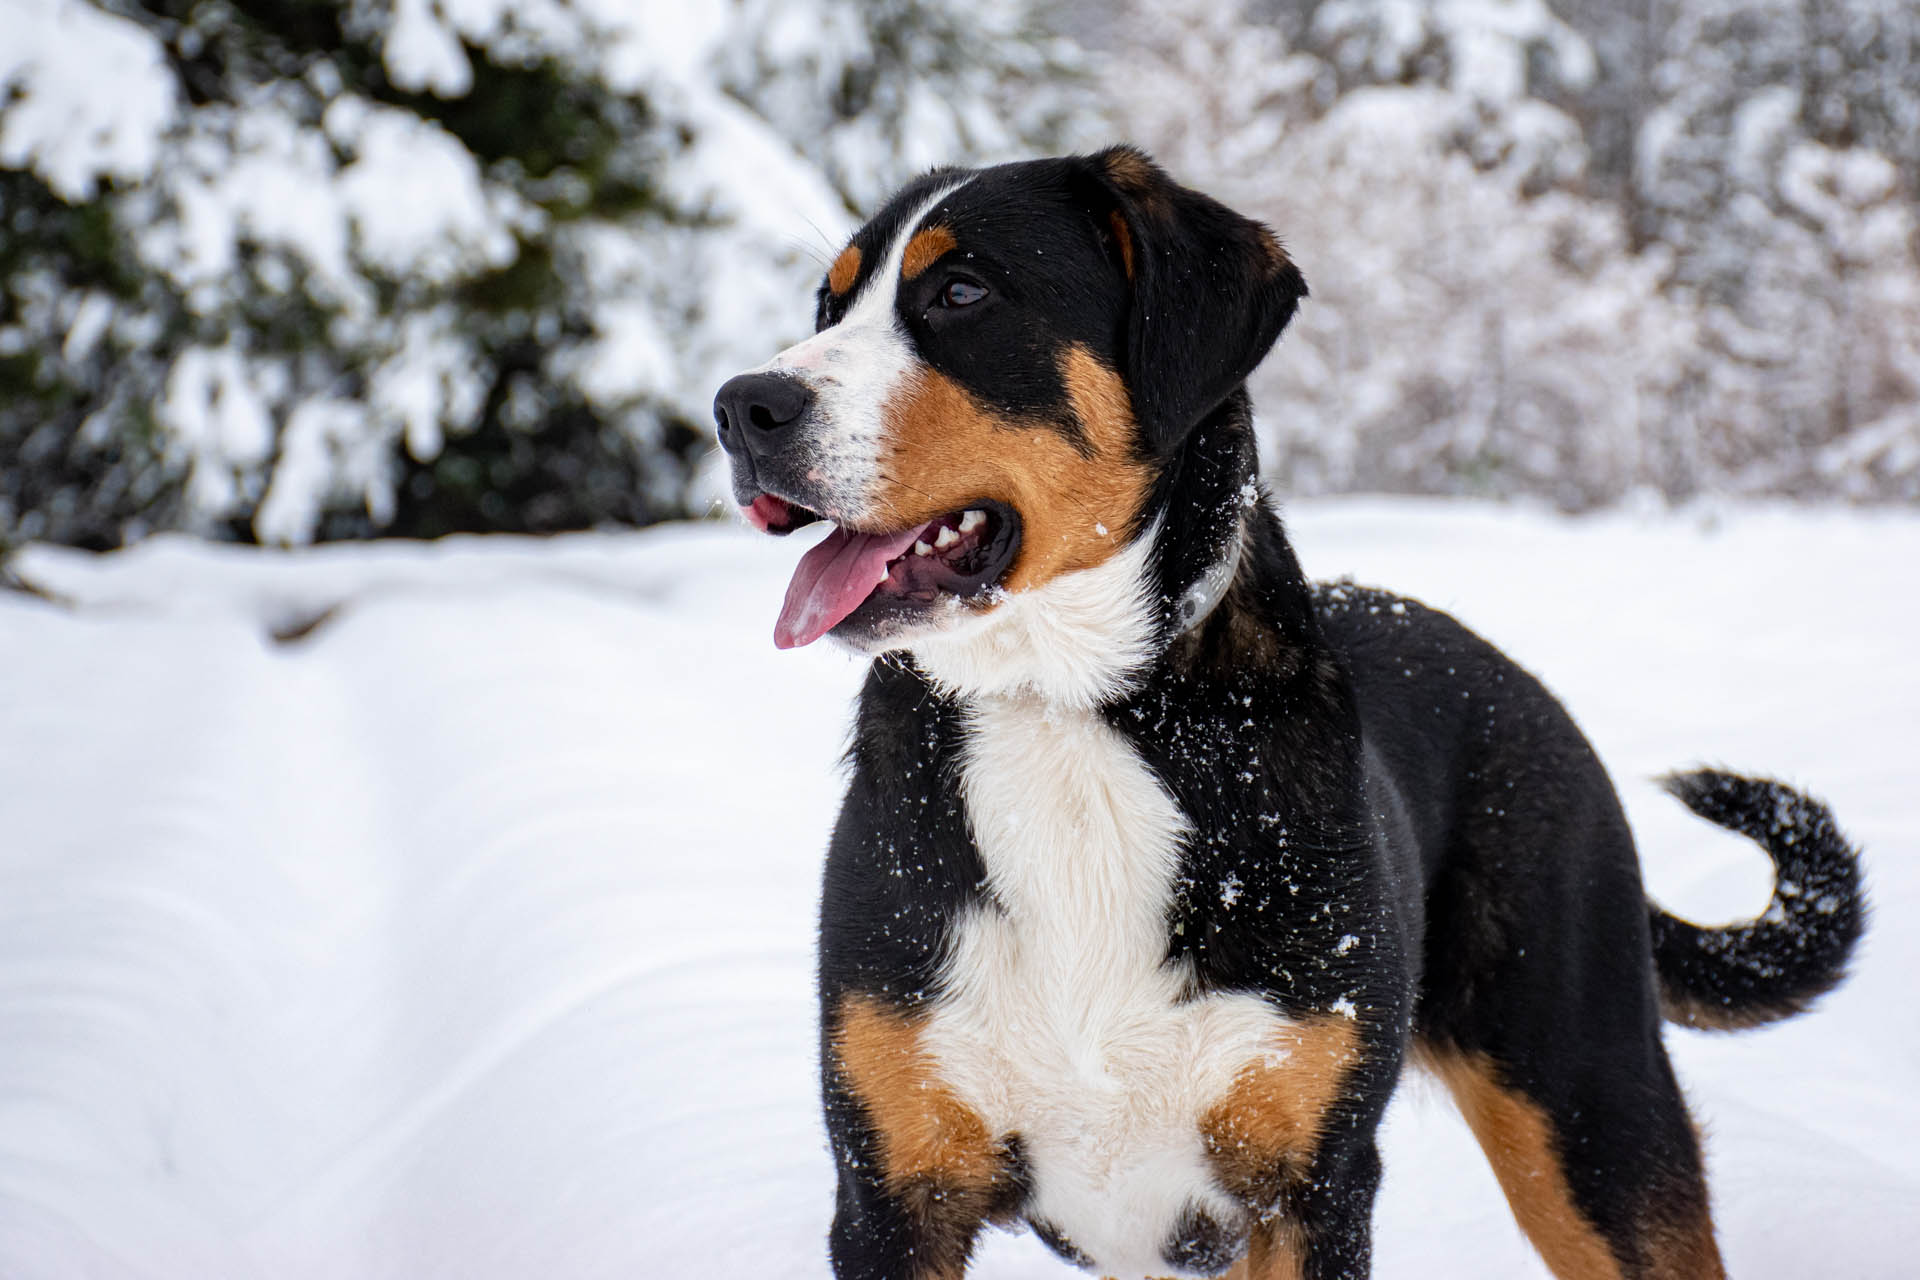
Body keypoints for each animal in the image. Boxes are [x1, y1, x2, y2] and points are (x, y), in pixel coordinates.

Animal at [706, 150, 1858, 1280]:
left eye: (961, 291)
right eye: (829, 303)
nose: (741, 406)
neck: (1064, 712)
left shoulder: (1308, 1184)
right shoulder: (896, 1189)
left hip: (1591, 1117)